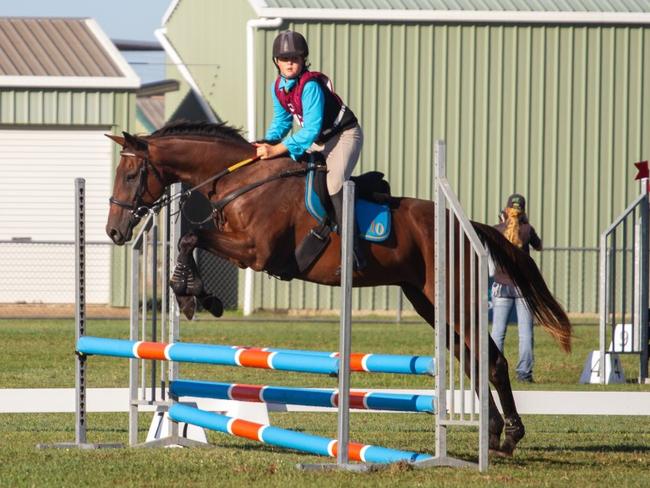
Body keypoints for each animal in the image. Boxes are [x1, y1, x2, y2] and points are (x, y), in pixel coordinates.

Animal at [107, 122, 572, 458]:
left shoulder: (255, 252)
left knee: (491, 361)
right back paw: (493, 436)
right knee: (473, 360)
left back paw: (508, 437)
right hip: (426, 301)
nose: (114, 231)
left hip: (454, 300)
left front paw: (196, 296)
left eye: (130, 174)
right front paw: (191, 293)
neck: (245, 182)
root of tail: (466, 225)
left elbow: (191, 238)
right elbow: (192, 241)